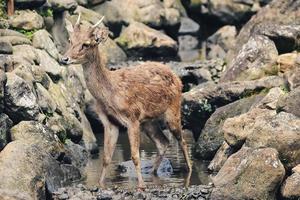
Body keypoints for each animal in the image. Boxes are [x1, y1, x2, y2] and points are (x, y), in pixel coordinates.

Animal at [60, 14, 192, 189]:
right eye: (70, 39)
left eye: (86, 44)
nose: (64, 59)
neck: (109, 94)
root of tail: (177, 78)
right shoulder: (109, 122)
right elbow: (106, 157)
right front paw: (101, 184)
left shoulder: (132, 117)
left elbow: (135, 156)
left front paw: (141, 186)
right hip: (148, 121)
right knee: (163, 143)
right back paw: (153, 172)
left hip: (173, 110)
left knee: (182, 141)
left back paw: (188, 171)